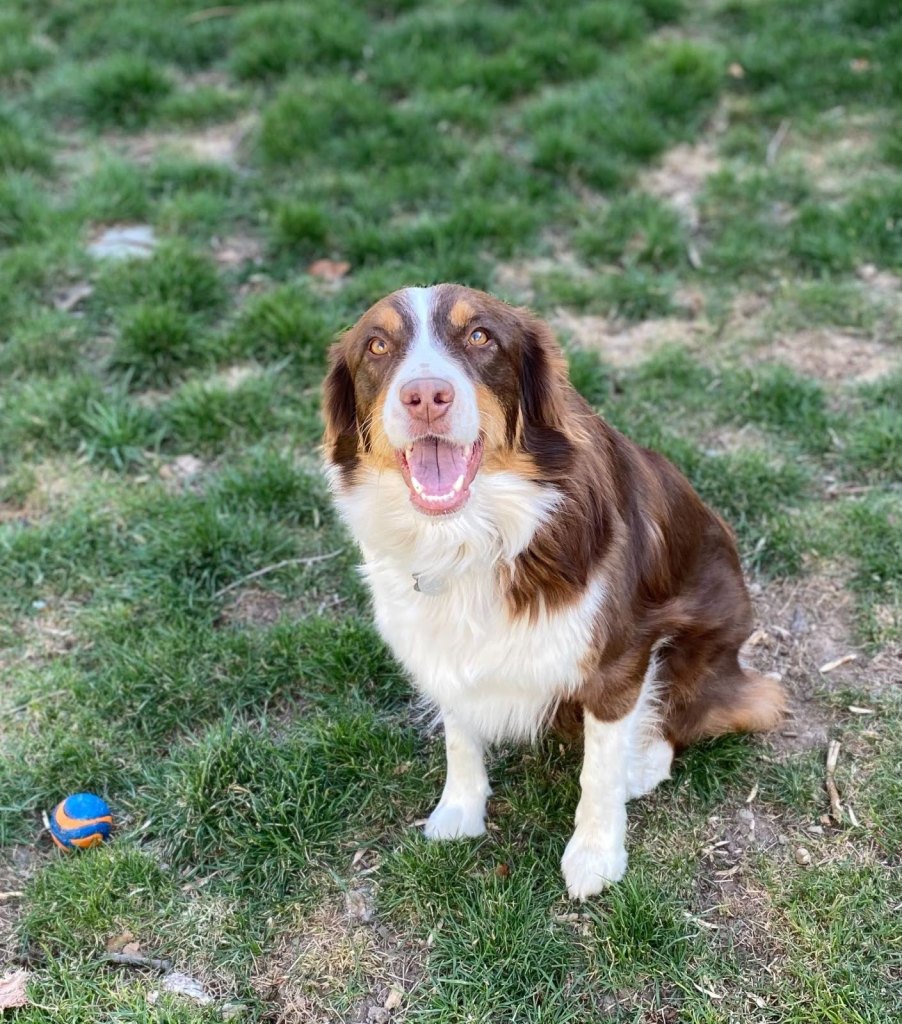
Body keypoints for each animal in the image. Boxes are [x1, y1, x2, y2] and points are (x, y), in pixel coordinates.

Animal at [322, 283, 785, 899]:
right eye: (376, 346)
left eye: (480, 336)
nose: (425, 397)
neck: (469, 535)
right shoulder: (438, 643)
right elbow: (459, 733)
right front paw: (460, 810)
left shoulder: (617, 658)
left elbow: (599, 771)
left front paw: (595, 855)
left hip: (701, 633)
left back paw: (643, 764)